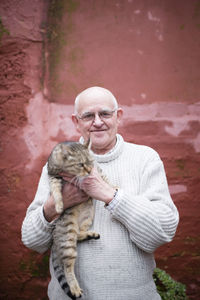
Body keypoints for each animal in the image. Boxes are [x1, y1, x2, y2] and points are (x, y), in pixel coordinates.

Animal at [47, 140, 100, 298]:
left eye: (90, 162)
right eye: (81, 164)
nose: (89, 171)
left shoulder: (97, 170)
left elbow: (104, 177)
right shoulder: (53, 175)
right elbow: (55, 190)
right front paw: (58, 205)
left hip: (88, 216)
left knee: (79, 234)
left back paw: (90, 234)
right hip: (68, 238)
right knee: (67, 267)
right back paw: (74, 287)